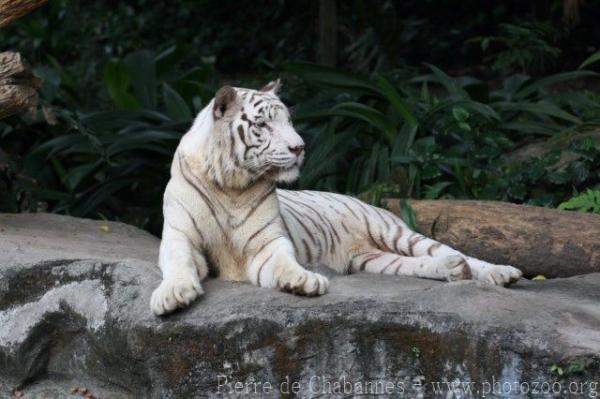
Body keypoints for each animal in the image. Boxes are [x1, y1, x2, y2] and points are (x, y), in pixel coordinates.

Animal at [149, 80, 520, 316]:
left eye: (289, 121)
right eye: (263, 125)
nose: (299, 147)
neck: (230, 183)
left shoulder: (267, 243)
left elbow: (283, 262)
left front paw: (303, 280)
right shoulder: (180, 236)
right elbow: (179, 263)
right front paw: (172, 295)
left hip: (395, 233)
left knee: (453, 252)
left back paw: (500, 273)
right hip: (372, 260)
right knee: (424, 263)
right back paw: (453, 270)